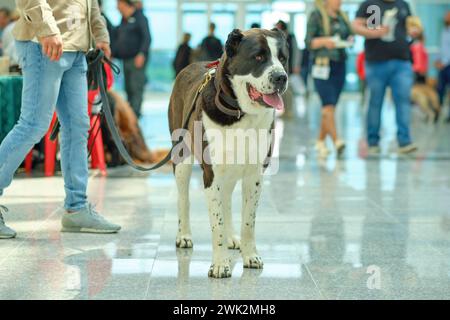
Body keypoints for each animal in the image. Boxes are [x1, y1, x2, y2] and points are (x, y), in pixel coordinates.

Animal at [168, 28, 288, 278]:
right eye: (259, 57)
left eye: (283, 58)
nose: (281, 77)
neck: (240, 113)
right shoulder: (211, 174)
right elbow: (217, 223)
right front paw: (220, 264)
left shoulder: (254, 175)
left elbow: (248, 221)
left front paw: (250, 255)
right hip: (182, 157)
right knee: (184, 198)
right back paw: (184, 235)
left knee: (226, 199)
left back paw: (233, 238)